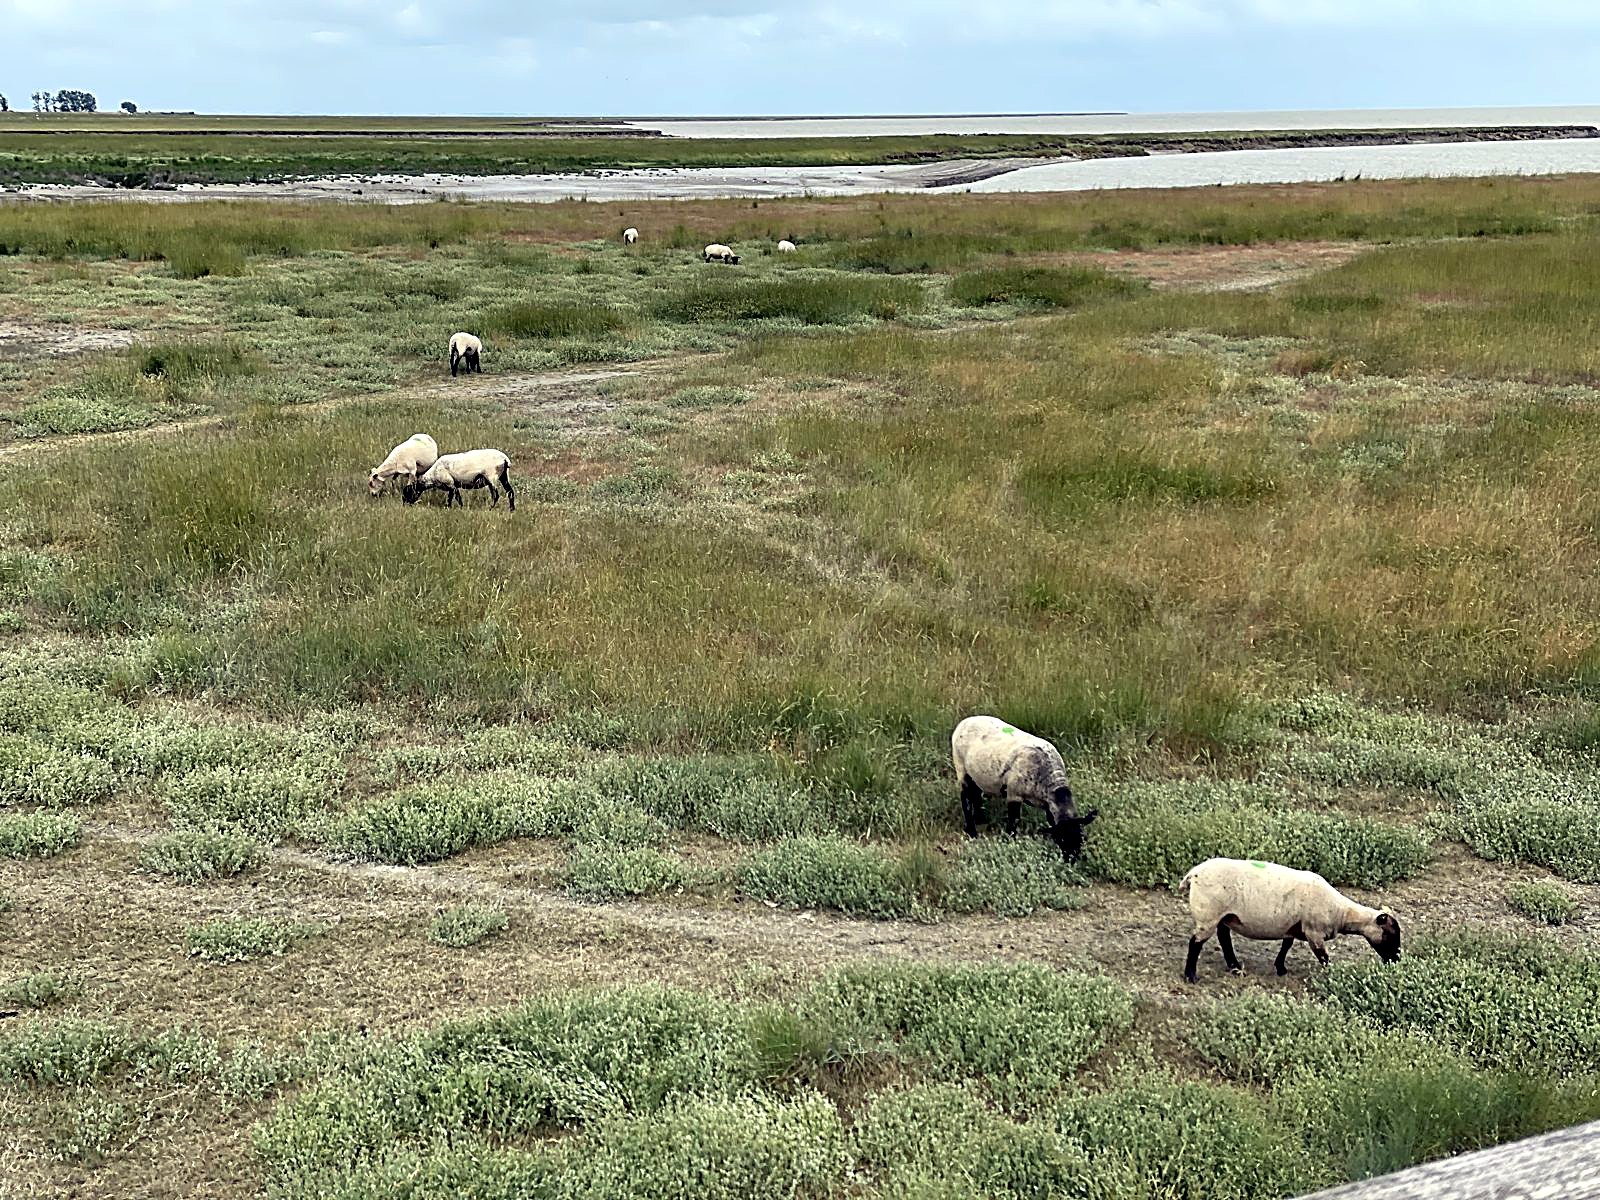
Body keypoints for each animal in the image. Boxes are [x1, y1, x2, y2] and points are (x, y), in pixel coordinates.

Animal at [951, 715, 1098, 860]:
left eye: (1082, 838)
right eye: (1062, 839)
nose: (1072, 860)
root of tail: (964, 721)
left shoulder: (1048, 804)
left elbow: (1051, 820)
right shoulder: (1014, 794)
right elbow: (1014, 820)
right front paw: (1010, 841)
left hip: (975, 774)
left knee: (976, 794)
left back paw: (981, 820)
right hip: (961, 767)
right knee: (965, 797)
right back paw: (972, 832)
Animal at [1178, 857, 1401, 984]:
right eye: (1391, 934)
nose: (1396, 960)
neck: (1342, 912)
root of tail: (1193, 874)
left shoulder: (1293, 926)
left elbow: (1286, 946)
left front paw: (1280, 968)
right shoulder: (1314, 932)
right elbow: (1324, 957)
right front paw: (1333, 975)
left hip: (1224, 915)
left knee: (1223, 936)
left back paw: (1235, 966)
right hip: (1208, 913)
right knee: (1195, 942)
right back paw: (1191, 976)